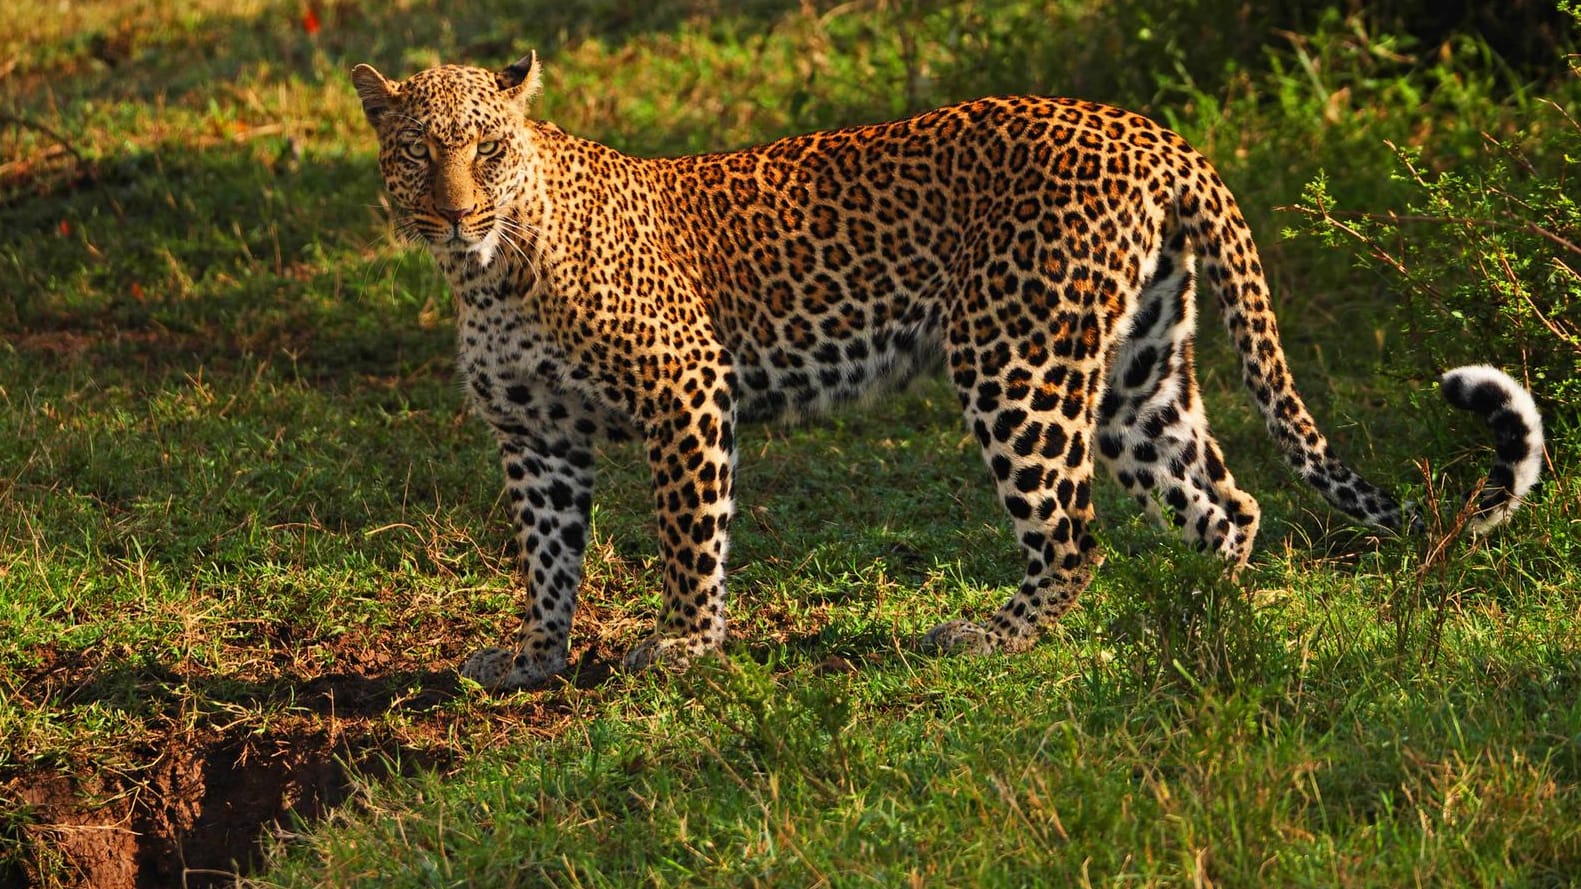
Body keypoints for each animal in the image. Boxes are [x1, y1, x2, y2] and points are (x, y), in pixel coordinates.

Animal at [349, 53, 1543, 692]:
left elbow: (690, 540)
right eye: (416, 153)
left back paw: (989, 639)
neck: (493, 274)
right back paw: (1198, 617)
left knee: (1074, 533)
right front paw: (535, 656)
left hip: (1015, 360)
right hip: (1136, 370)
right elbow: (547, 558)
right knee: (1224, 501)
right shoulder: (536, 437)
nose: (452, 212)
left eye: (488, 147)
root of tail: (1149, 129)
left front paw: (685, 643)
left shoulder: (685, 393)